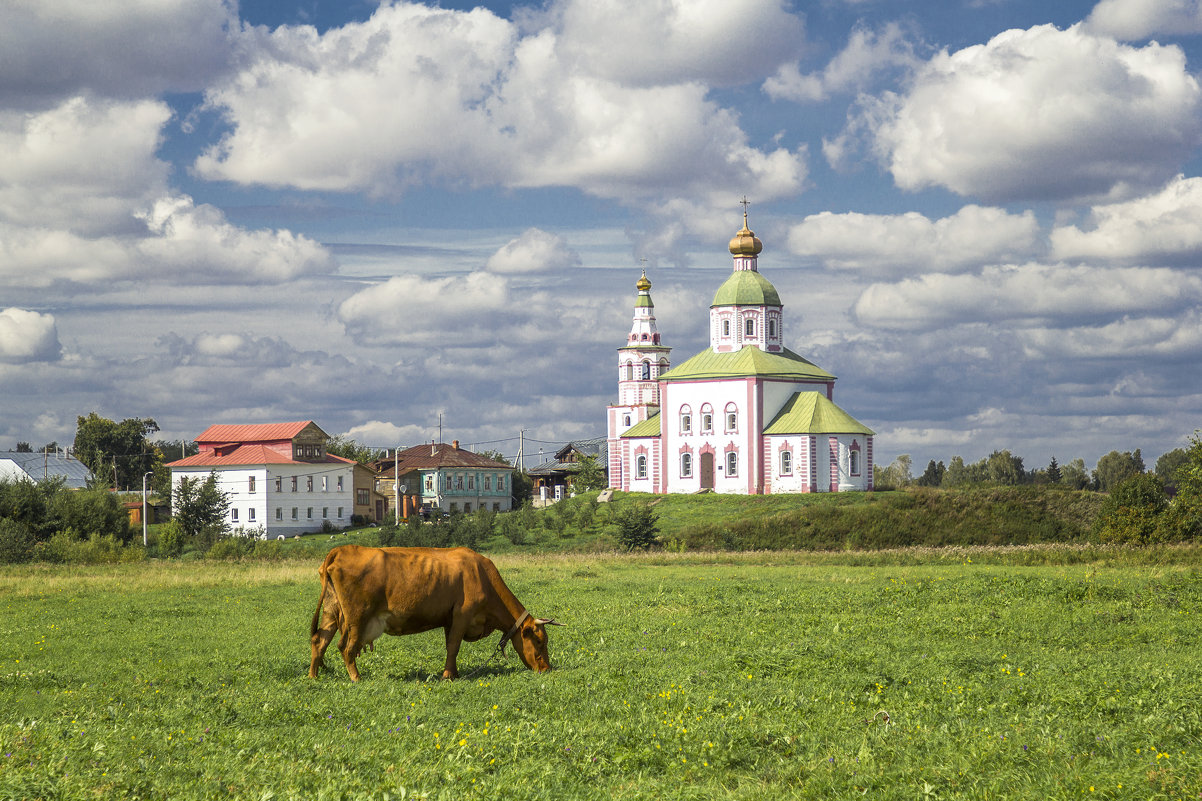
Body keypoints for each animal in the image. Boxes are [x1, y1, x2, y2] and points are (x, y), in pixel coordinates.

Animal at [305, 538, 557, 678]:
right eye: (539, 641)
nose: (546, 669)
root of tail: (341, 550)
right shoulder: (462, 615)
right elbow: (454, 646)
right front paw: (447, 676)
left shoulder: (449, 619)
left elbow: (449, 646)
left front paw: (453, 672)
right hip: (357, 617)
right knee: (346, 648)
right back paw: (356, 678)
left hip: (331, 611)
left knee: (320, 640)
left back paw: (313, 676)